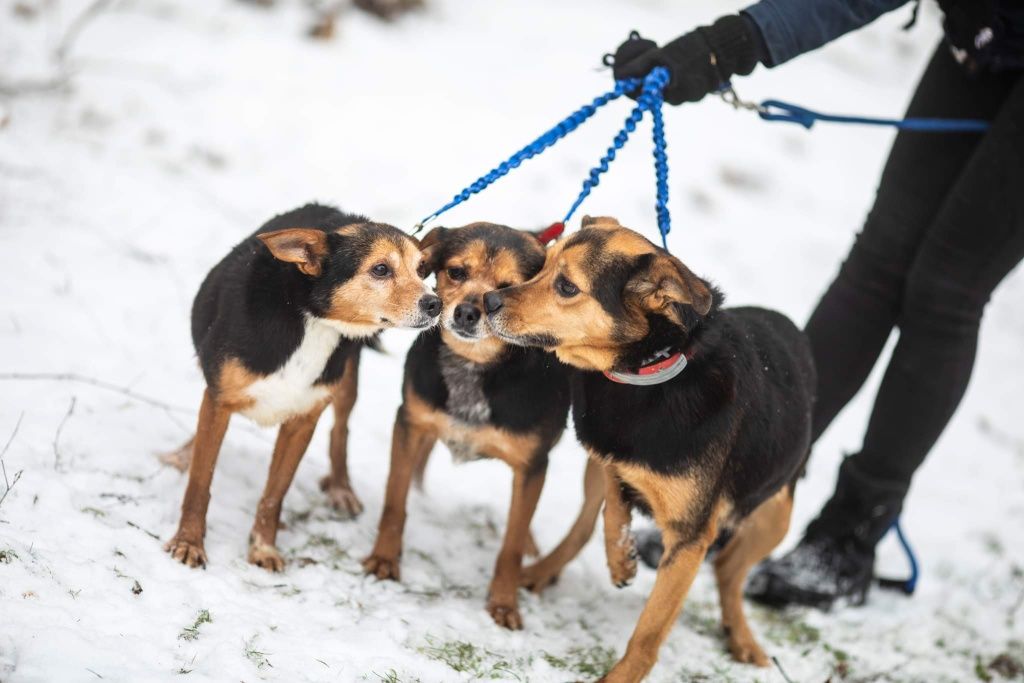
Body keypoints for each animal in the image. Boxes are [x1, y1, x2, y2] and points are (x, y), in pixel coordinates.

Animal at [164, 202, 440, 573]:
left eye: (422, 270)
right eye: (381, 269)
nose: (435, 304)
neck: (313, 320)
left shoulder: (301, 422)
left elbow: (274, 494)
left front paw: (263, 548)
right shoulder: (220, 401)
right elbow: (200, 481)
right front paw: (189, 542)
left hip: (345, 380)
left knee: (341, 429)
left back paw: (340, 487)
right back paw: (183, 454)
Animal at [360, 223, 573, 630]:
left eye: (506, 288)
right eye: (457, 272)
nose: (468, 312)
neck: (475, 366)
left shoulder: (533, 465)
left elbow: (512, 544)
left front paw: (504, 604)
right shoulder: (410, 424)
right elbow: (395, 502)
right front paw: (384, 559)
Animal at [485, 216, 815, 679]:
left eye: (566, 286)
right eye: (542, 265)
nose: (488, 300)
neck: (651, 372)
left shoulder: (690, 538)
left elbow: (649, 632)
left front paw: (619, 678)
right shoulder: (605, 448)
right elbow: (612, 504)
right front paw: (621, 557)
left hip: (776, 512)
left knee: (730, 571)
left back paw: (743, 638)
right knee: (584, 526)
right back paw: (543, 571)